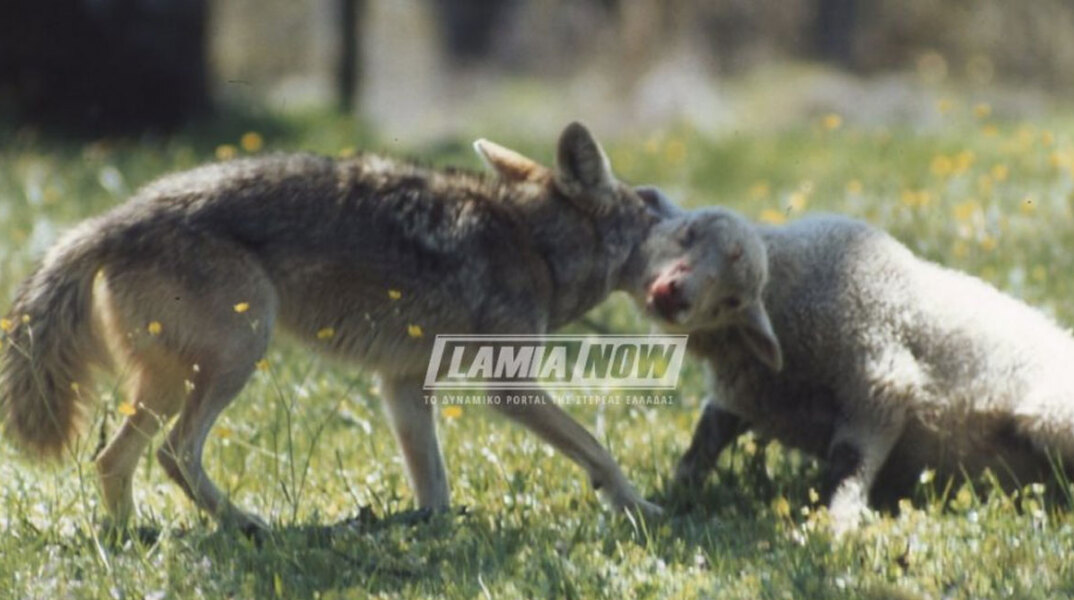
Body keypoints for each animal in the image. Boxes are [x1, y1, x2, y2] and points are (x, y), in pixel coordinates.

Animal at [0, 122, 674, 531]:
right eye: (648, 207)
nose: (668, 203)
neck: (533, 243)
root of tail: (111, 220)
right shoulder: (507, 389)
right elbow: (599, 449)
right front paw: (642, 508)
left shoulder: (402, 386)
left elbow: (433, 485)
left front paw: (433, 531)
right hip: (237, 356)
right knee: (172, 452)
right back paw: (244, 525)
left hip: (170, 383)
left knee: (111, 460)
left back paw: (130, 536)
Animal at [628, 195, 1074, 532]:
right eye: (688, 234)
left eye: (733, 299)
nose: (672, 293)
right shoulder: (751, 394)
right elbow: (706, 438)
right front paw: (672, 494)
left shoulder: (880, 380)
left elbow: (851, 462)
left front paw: (836, 526)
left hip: (1050, 415)